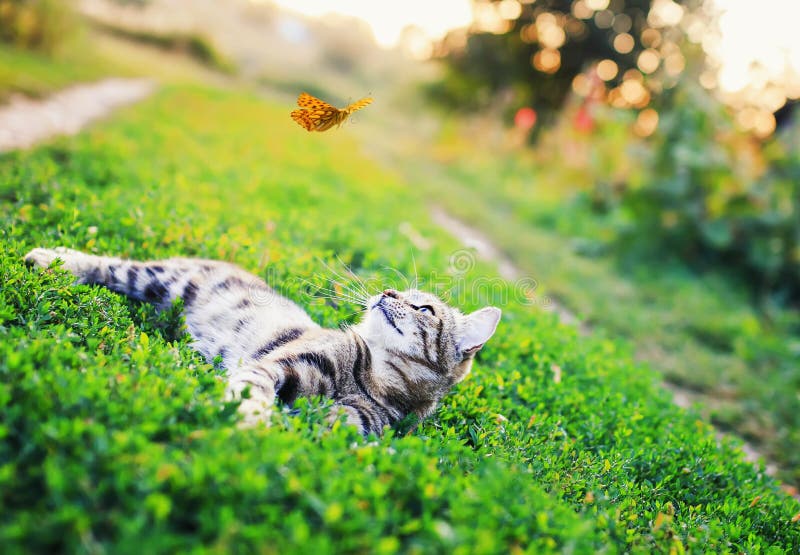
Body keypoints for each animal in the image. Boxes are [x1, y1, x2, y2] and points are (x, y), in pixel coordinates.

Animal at [25, 250, 500, 436]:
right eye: (397, 292)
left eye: (425, 309)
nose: (386, 293)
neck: (368, 379)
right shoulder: (279, 365)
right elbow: (252, 392)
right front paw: (248, 419)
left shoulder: (350, 426)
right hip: (158, 279)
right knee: (110, 266)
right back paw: (52, 259)